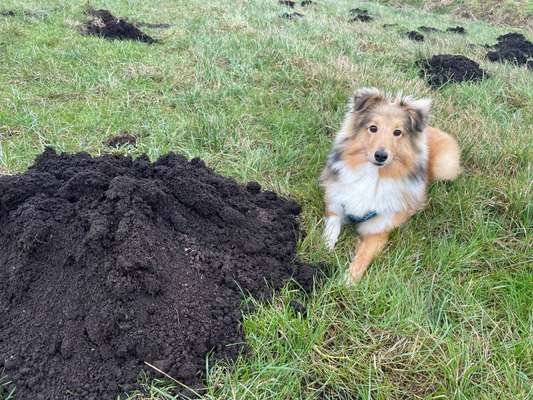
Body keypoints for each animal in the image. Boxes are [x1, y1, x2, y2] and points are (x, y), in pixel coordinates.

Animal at [320, 88, 462, 282]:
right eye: (373, 128)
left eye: (397, 132)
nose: (381, 156)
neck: (373, 175)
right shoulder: (335, 202)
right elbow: (332, 226)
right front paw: (325, 246)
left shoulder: (378, 230)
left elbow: (363, 257)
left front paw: (347, 280)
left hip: (445, 167)